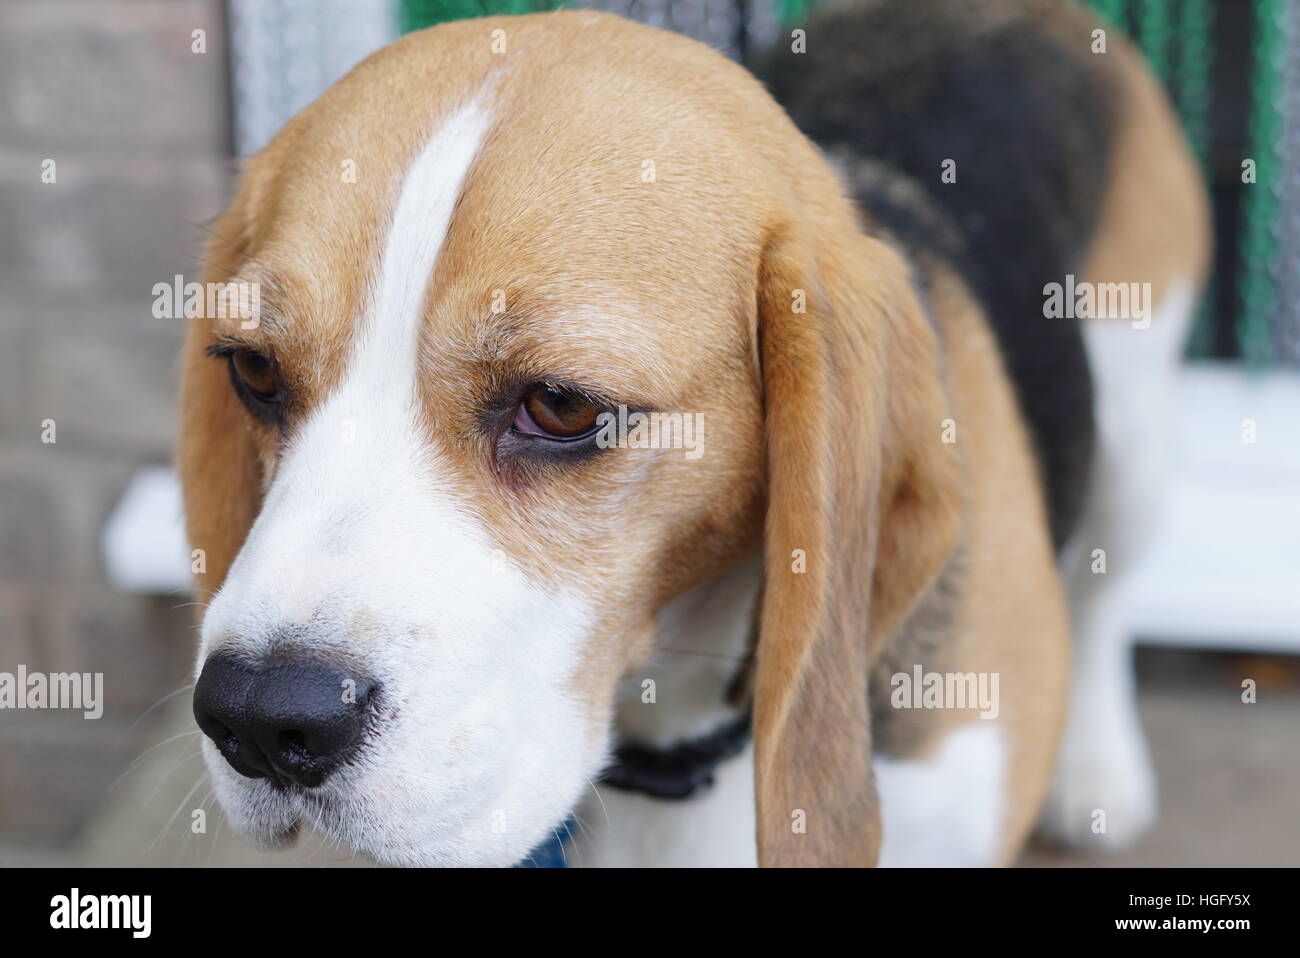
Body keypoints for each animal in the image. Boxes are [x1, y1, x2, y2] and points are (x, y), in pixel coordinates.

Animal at [180, 1, 1206, 868]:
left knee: (1106, 590)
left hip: (1139, 429)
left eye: (560, 406)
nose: (257, 718)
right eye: (254, 371)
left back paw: (1099, 771)